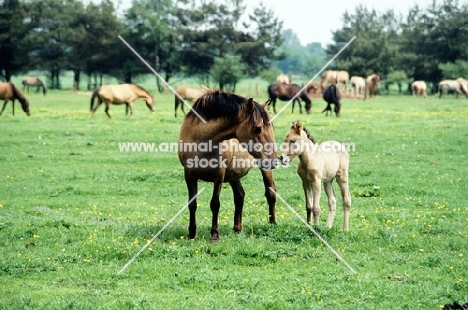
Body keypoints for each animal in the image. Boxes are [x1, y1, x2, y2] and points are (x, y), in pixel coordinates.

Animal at [177, 91, 276, 241]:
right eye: (257, 128)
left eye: (269, 127)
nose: (275, 160)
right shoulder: (189, 174)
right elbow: (192, 204)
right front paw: (192, 233)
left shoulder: (219, 174)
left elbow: (215, 204)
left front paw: (214, 234)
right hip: (234, 174)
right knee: (240, 195)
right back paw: (237, 228)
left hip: (263, 167)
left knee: (271, 192)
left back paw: (272, 224)